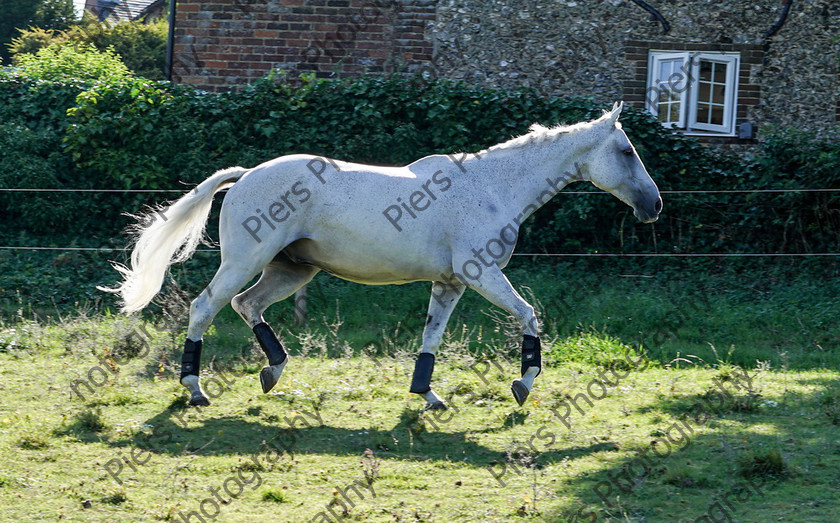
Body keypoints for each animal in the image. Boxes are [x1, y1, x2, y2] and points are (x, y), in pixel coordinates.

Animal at [105, 102, 660, 412]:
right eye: (627, 151)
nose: (653, 206)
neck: (491, 187)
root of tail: (245, 175)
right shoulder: (482, 275)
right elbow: (529, 316)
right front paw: (522, 385)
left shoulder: (450, 284)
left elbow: (431, 339)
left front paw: (427, 397)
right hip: (246, 262)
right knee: (206, 307)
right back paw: (196, 389)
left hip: (291, 270)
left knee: (248, 306)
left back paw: (273, 372)